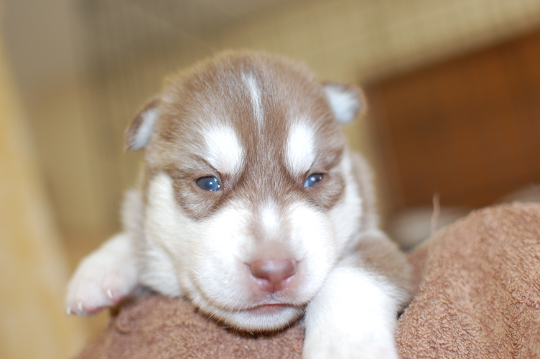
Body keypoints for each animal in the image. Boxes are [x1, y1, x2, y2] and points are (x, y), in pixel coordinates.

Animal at [65, 51, 412, 359]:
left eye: (314, 178)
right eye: (208, 182)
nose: (274, 270)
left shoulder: (376, 239)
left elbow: (353, 275)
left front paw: (346, 347)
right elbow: (136, 231)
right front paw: (100, 269)